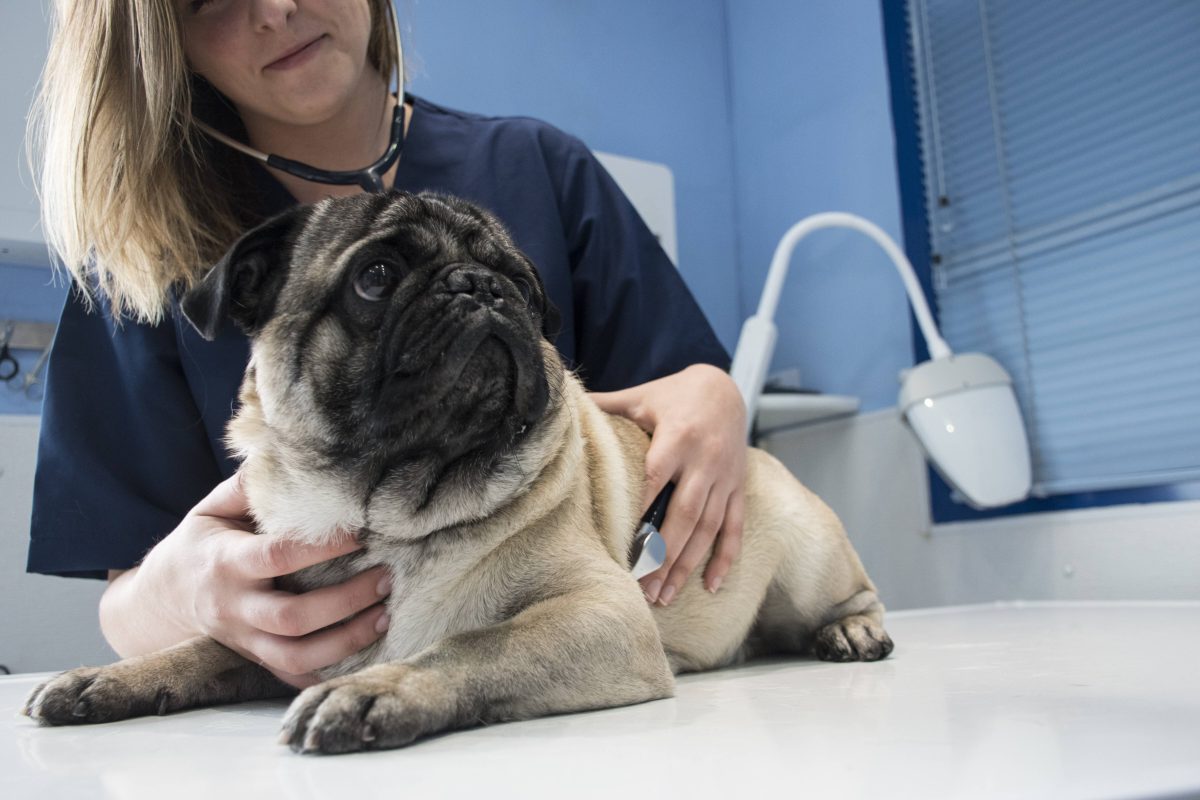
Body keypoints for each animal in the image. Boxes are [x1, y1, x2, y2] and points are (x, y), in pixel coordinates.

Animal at [21, 190, 892, 753]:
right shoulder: (271, 637)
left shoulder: (601, 613)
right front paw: (108, 680)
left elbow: (475, 645)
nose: (481, 287)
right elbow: (204, 647)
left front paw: (379, 690)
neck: (388, 507)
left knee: (848, 593)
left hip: (807, 551)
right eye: (375, 277)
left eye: (525, 287)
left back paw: (851, 629)